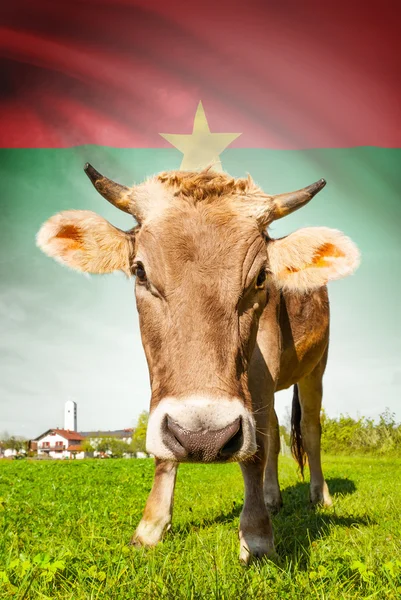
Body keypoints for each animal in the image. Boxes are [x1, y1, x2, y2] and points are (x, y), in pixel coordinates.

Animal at [36, 165, 358, 564]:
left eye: (261, 277)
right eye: (140, 271)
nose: (203, 438)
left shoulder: (263, 365)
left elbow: (255, 451)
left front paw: (257, 535)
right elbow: (166, 448)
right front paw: (150, 527)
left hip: (316, 367)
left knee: (310, 431)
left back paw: (319, 495)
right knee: (272, 428)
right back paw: (272, 497)